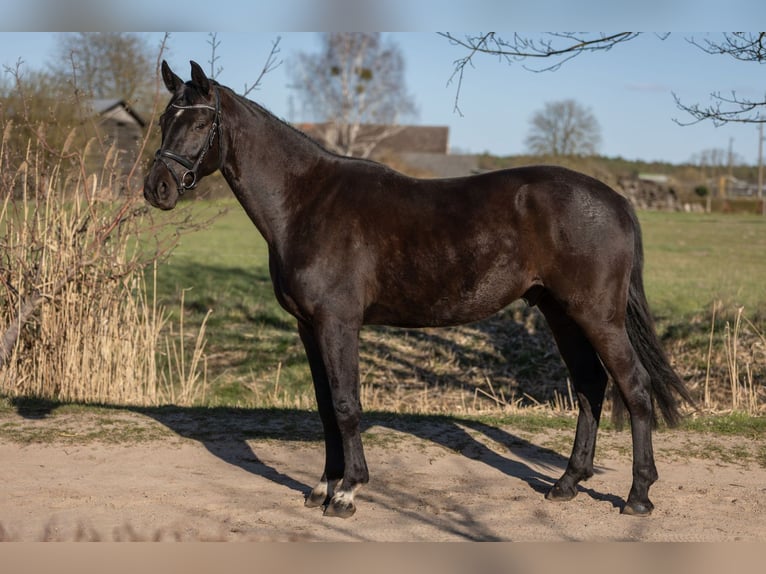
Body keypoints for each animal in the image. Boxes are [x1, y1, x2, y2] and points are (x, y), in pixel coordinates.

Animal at [144, 61, 692, 519]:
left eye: (200, 124)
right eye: (165, 119)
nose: (156, 189)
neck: (305, 201)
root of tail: (616, 200)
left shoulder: (338, 324)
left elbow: (346, 406)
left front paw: (348, 492)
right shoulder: (308, 328)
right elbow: (325, 407)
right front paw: (323, 485)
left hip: (597, 315)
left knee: (634, 387)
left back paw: (638, 496)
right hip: (560, 312)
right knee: (590, 387)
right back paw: (566, 484)